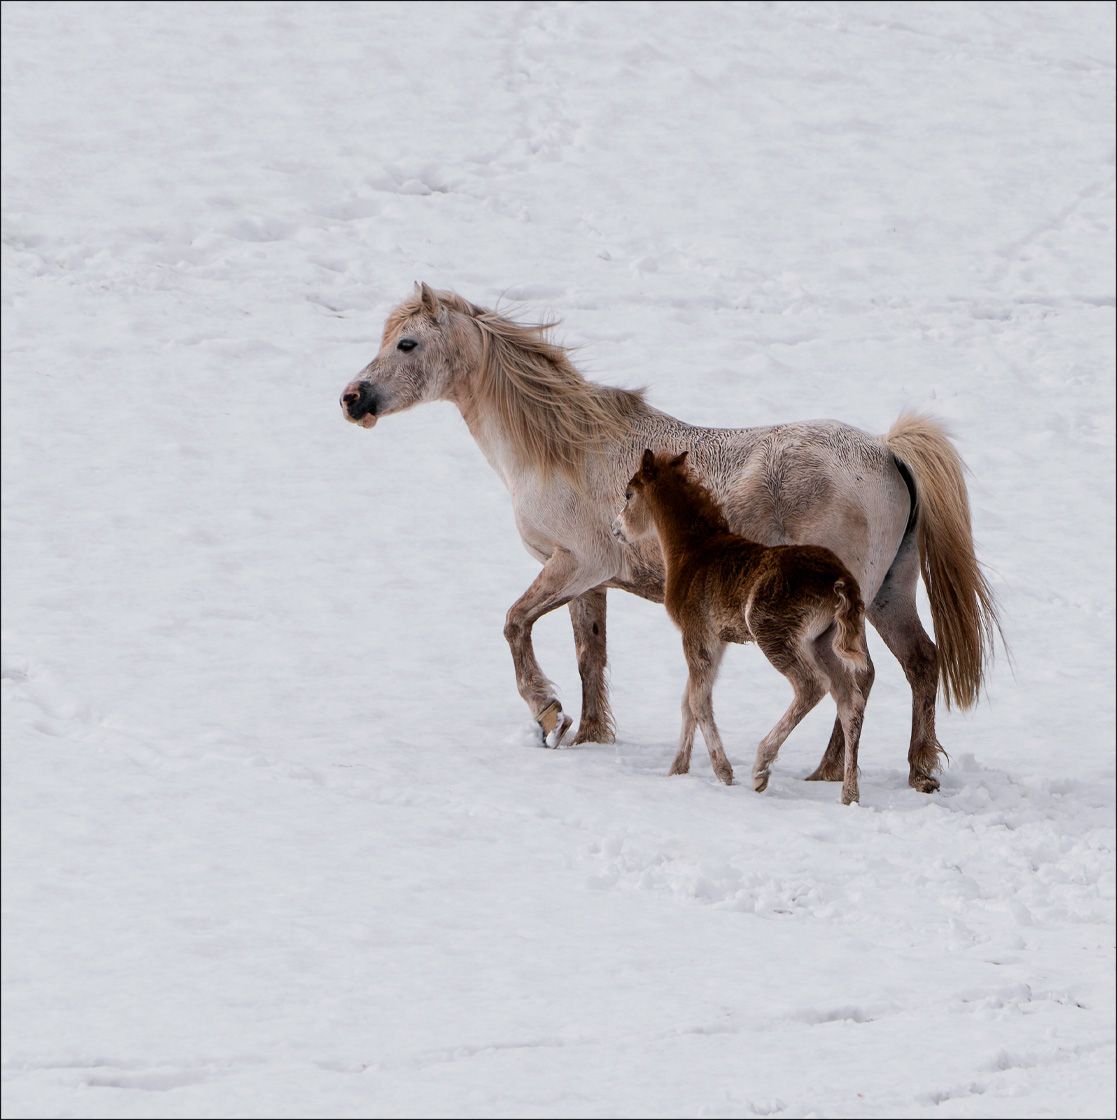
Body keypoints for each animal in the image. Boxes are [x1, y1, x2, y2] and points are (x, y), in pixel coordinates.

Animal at [612, 449, 870, 805]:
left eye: (628, 493)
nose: (616, 529)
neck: (692, 552)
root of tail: (839, 578)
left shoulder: (696, 634)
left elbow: (698, 701)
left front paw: (723, 771)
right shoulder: (718, 641)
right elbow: (689, 699)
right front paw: (677, 769)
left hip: (772, 632)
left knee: (811, 686)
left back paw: (761, 768)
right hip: (823, 642)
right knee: (849, 701)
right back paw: (849, 794)